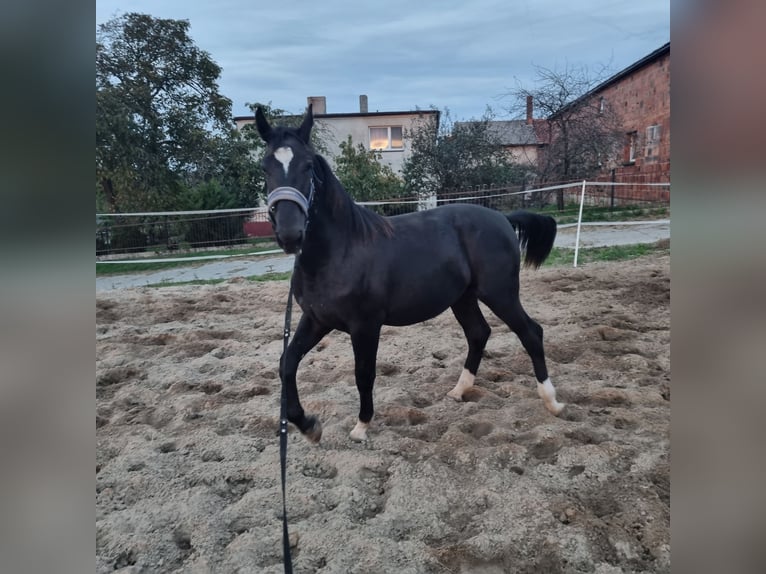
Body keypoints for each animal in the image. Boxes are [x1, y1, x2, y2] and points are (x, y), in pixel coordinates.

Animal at [258, 106, 564, 444]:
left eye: (308, 165)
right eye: (264, 167)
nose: (290, 234)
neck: (341, 250)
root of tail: (502, 218)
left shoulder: (365, 326)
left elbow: (363, 373)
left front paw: (362, 426)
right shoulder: (316, 320)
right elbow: (287, 363)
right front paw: (308, 424)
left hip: (500, 294)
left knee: (531, 332)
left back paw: (552, 402)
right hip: (463, 298)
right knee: (479, 333)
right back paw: (458, 391)